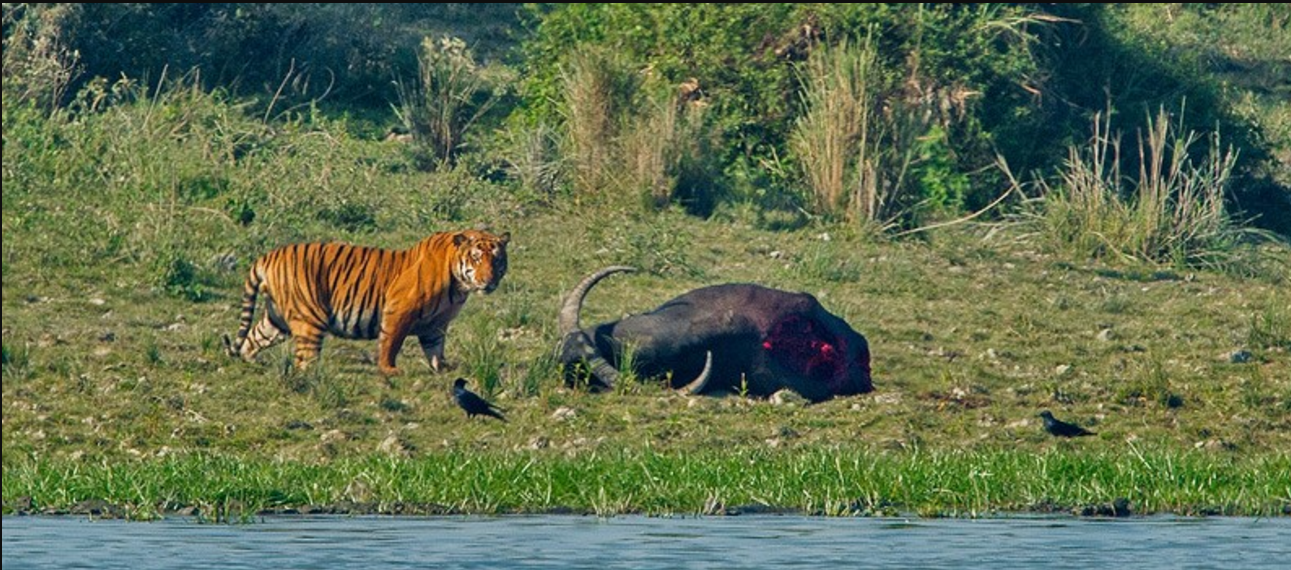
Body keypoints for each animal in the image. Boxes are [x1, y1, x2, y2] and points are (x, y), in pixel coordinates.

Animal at [222, 229, 508, 376]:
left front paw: (443, 368)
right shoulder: (398, 310)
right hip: (309, 317)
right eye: (476, 258)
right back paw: (314, 377)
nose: (489, 280)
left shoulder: (436, 324)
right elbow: (391, 343)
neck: (459, 285)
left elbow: (435, 348)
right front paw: (389, 370)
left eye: (496, 259)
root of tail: (268, 256)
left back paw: (250, 361)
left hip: (277, 318)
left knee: (254, 337)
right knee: (305, 359)